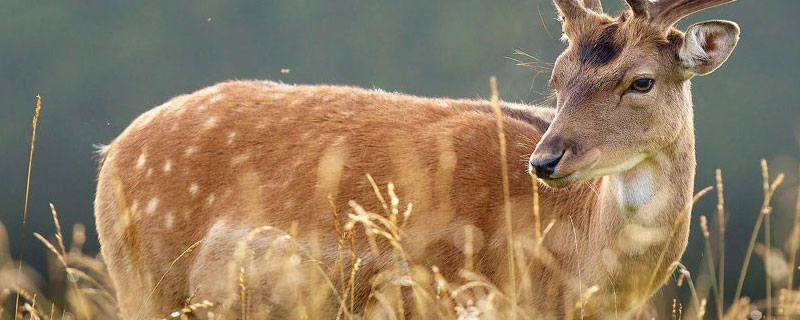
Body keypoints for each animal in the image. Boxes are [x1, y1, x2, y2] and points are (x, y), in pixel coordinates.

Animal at [95, 0, 744, 318]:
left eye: (641, 81)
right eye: (558, 79)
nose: (546, 161)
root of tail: (112, 153)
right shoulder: (442, 291)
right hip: (142, 280)